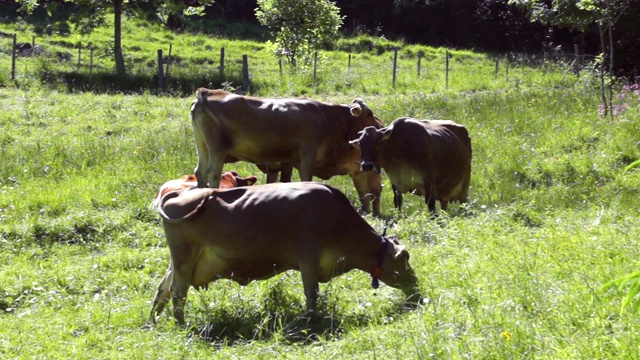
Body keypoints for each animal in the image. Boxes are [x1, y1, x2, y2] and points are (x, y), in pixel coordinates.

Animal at [147, 183, 422, 326]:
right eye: (404, 257)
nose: (415, 285)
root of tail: (179, 193)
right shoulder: (308, 259)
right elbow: (312, 293)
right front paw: (311, 322)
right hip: (184, 257)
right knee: (178, 293)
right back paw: (181, 324)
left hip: (179, 262)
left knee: (163, 288)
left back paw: (152, 322)